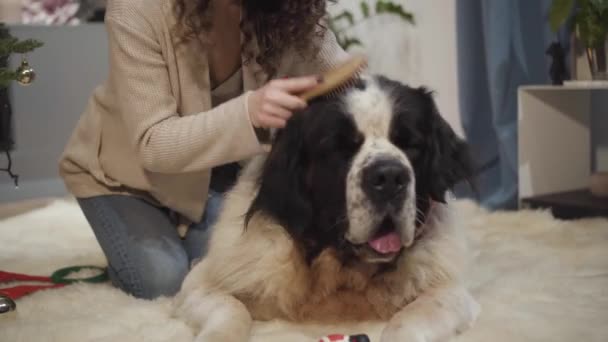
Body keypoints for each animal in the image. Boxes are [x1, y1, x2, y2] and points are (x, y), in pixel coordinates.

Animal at [175, 75, 480, 342]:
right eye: (340, 148)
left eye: (410, 145)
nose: (390, 177)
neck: (341, 270)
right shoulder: (203, 280)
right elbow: (230, 308)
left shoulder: (448, 290)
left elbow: (407, 320)